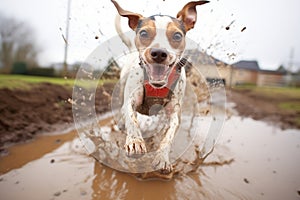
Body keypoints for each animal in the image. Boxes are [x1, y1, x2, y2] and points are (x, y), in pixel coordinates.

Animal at [110, 0, 209, 173]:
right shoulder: (129, 102)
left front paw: (162, 157)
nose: (159, 53)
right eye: (143, 33)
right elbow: (131, 119)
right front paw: (135, 142)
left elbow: (168, 135)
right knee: (122, 117)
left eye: (177, 35)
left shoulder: (175, 113)